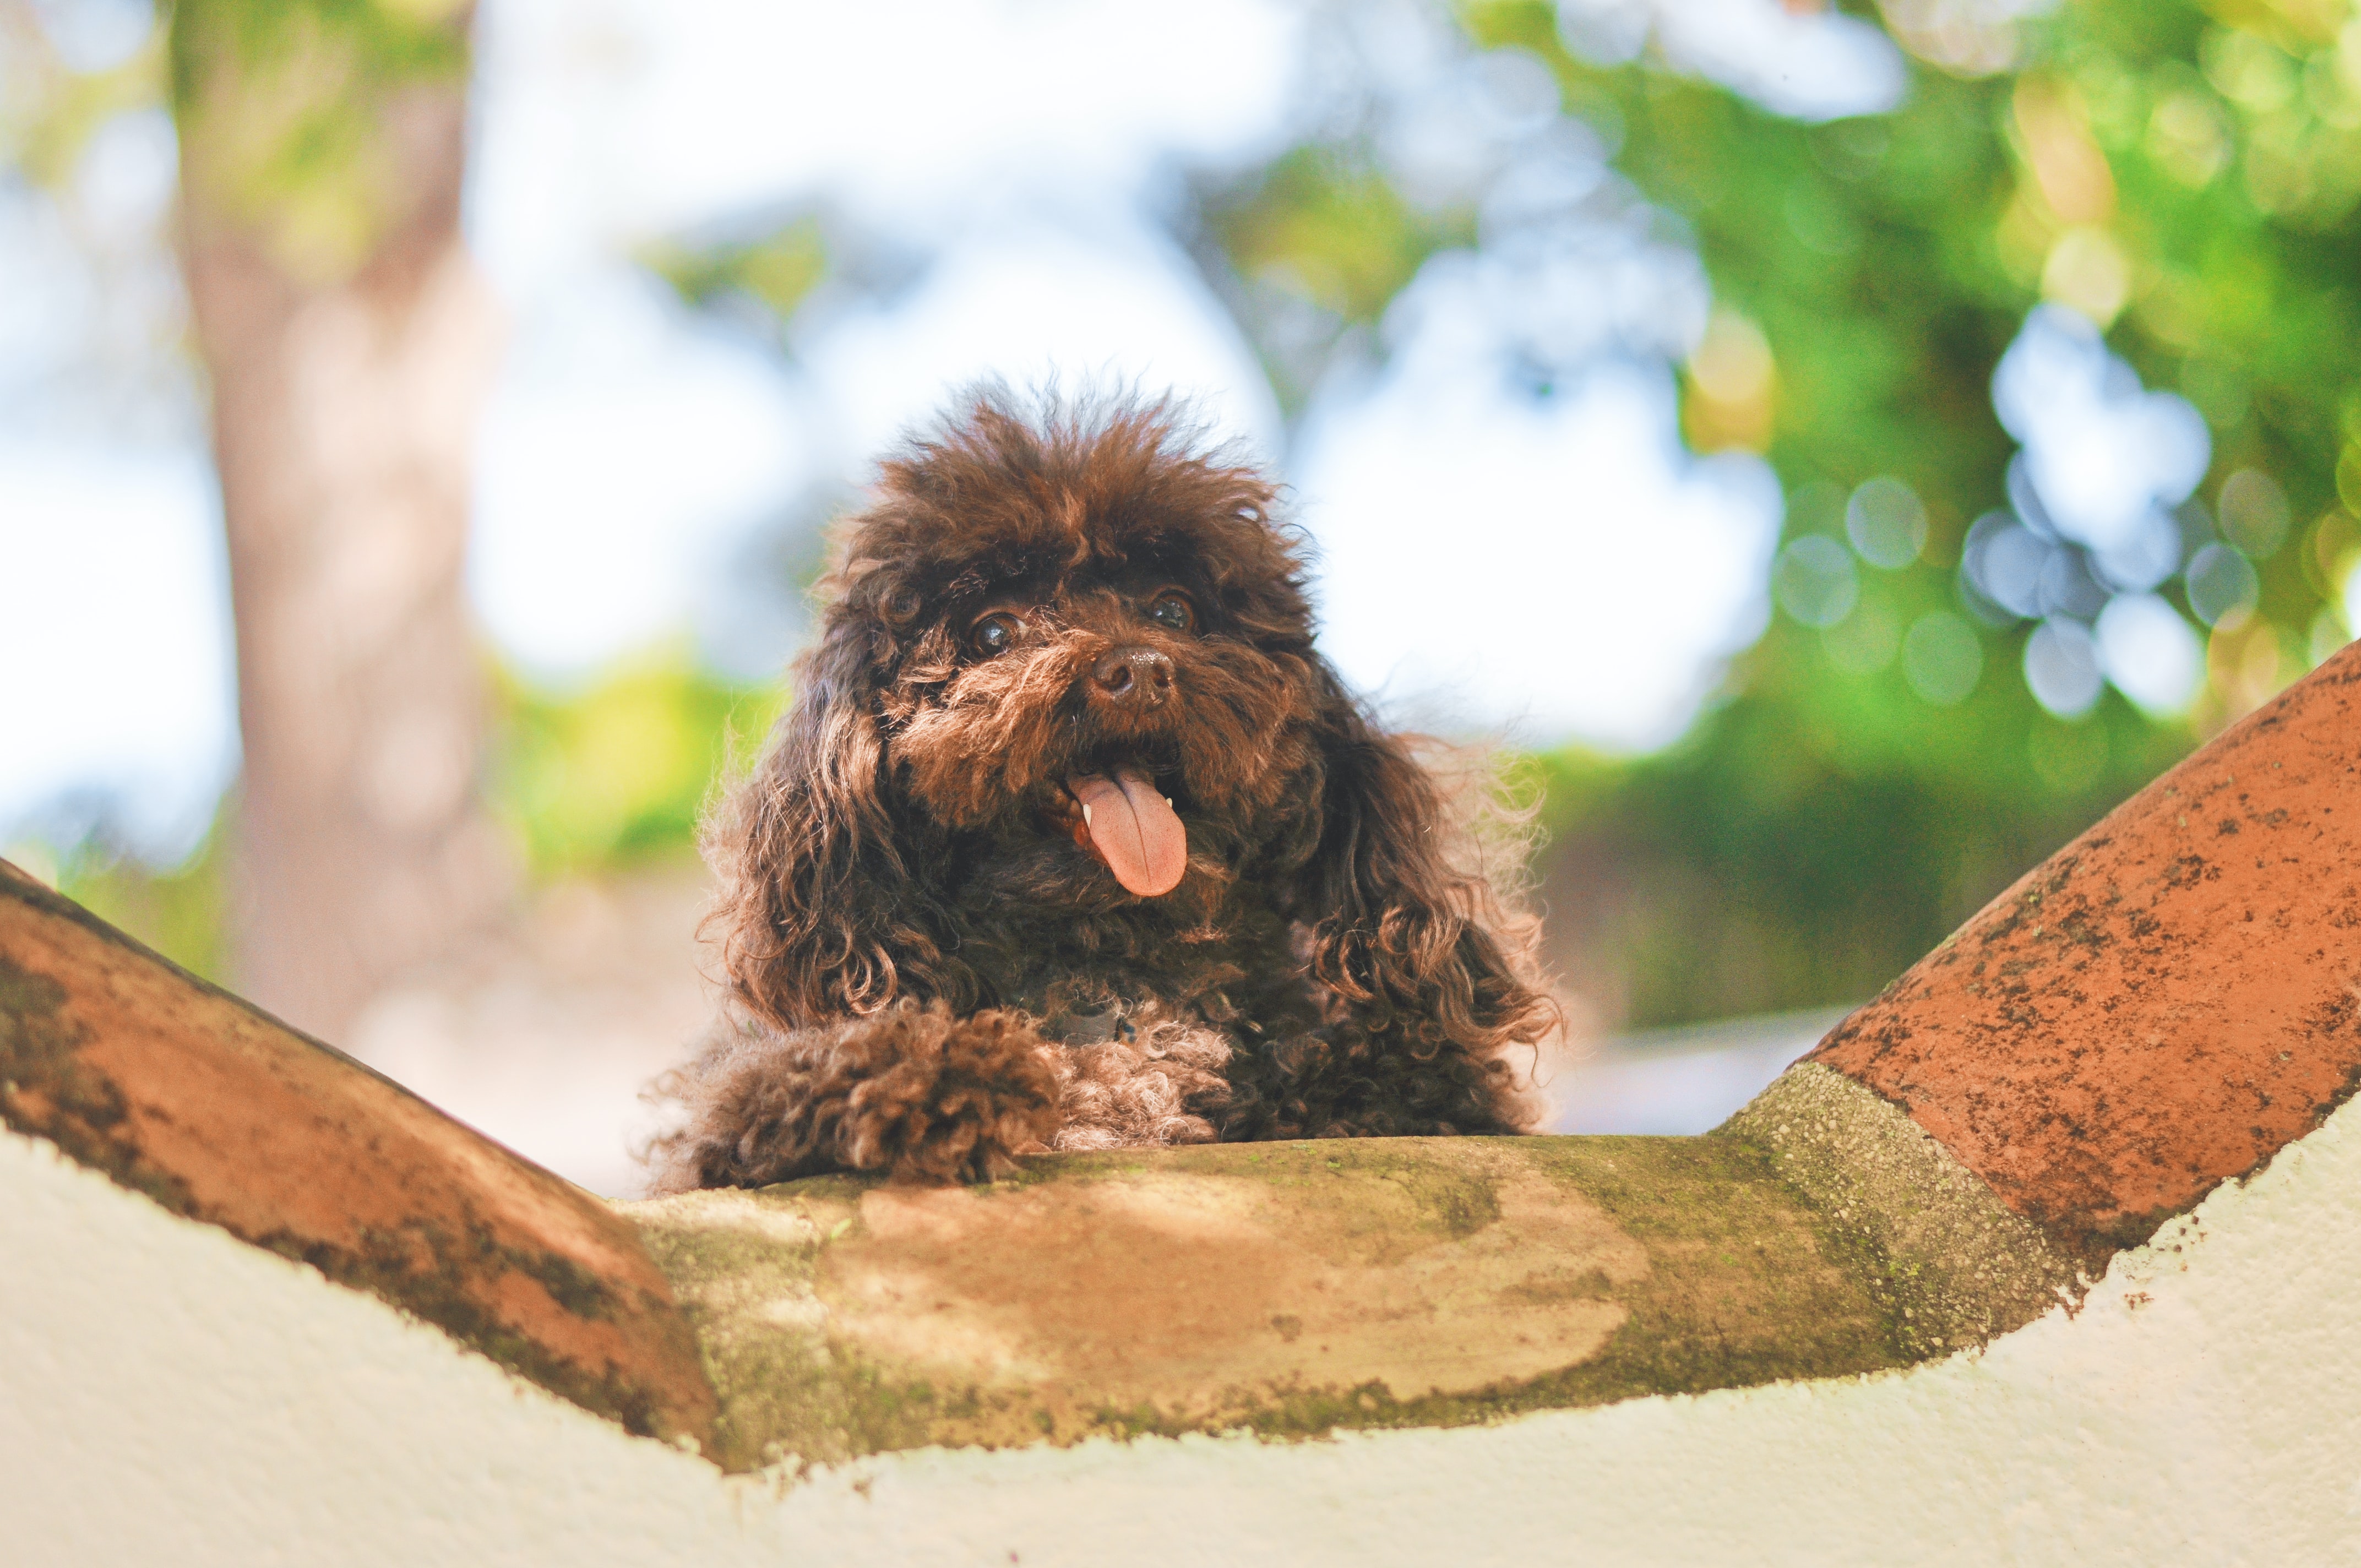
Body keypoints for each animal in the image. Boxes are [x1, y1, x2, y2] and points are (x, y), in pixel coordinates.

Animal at [656, 389, 1558, 1190]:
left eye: (1176, 611)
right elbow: (781, 1078)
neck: (1111, 976)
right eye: (993, 630)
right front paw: (942, 1073)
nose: (1140, 670)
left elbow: (1409, 1079)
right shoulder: (721, 1126)